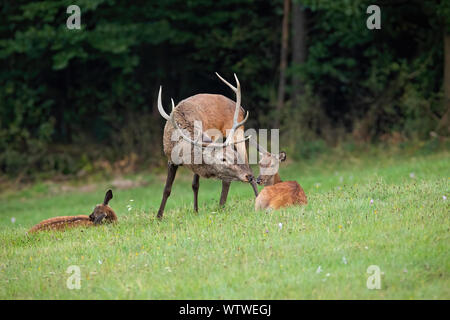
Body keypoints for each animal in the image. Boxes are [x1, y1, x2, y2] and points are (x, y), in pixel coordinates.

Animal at [157, 73, 256, 218]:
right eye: (223, 159)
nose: (247, 176)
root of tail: (242, 109)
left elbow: (194, 184)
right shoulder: (171, 159)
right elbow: (169, 189)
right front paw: (159, 216)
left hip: (238, 131)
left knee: (247, 168)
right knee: (228, 179)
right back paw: (222, 205)